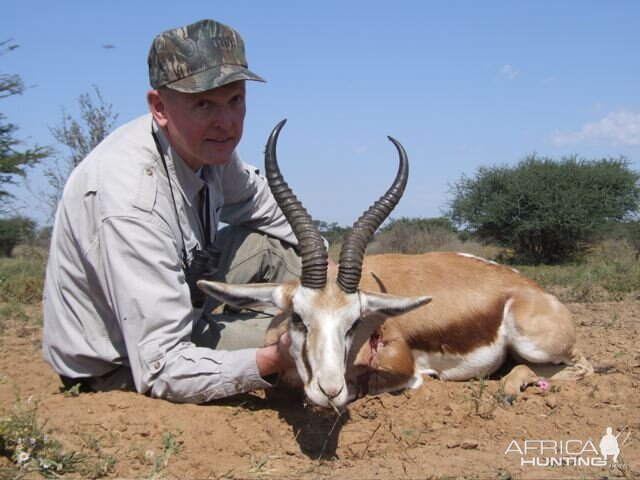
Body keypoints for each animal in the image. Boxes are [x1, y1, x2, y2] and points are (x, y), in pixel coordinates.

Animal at [200, 120, 596, 408]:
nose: (329, 391)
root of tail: (531, 288)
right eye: (298, 317)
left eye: (354, 323)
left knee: (581, 365)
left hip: (538, 344)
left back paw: (511, 390)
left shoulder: (397, 367)